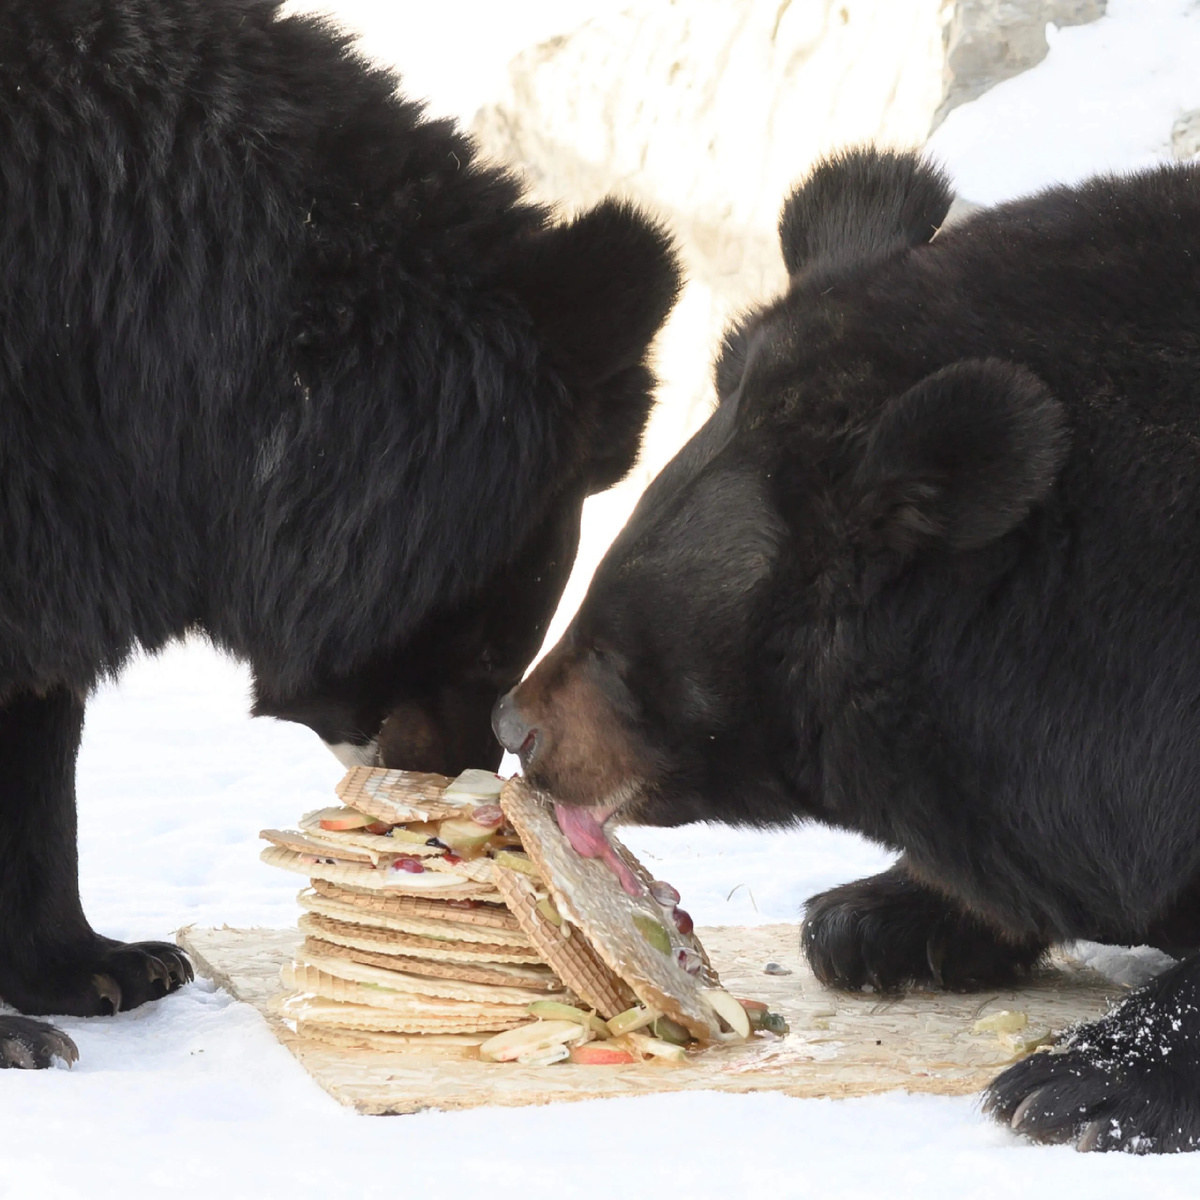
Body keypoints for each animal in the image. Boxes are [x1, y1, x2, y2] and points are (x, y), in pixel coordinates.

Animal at [0, 0, 681, 1070]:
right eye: (486, 640)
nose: (454, 791)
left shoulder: (75, 492)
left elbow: (37, 715)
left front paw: (106, 968)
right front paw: (26, 1031)